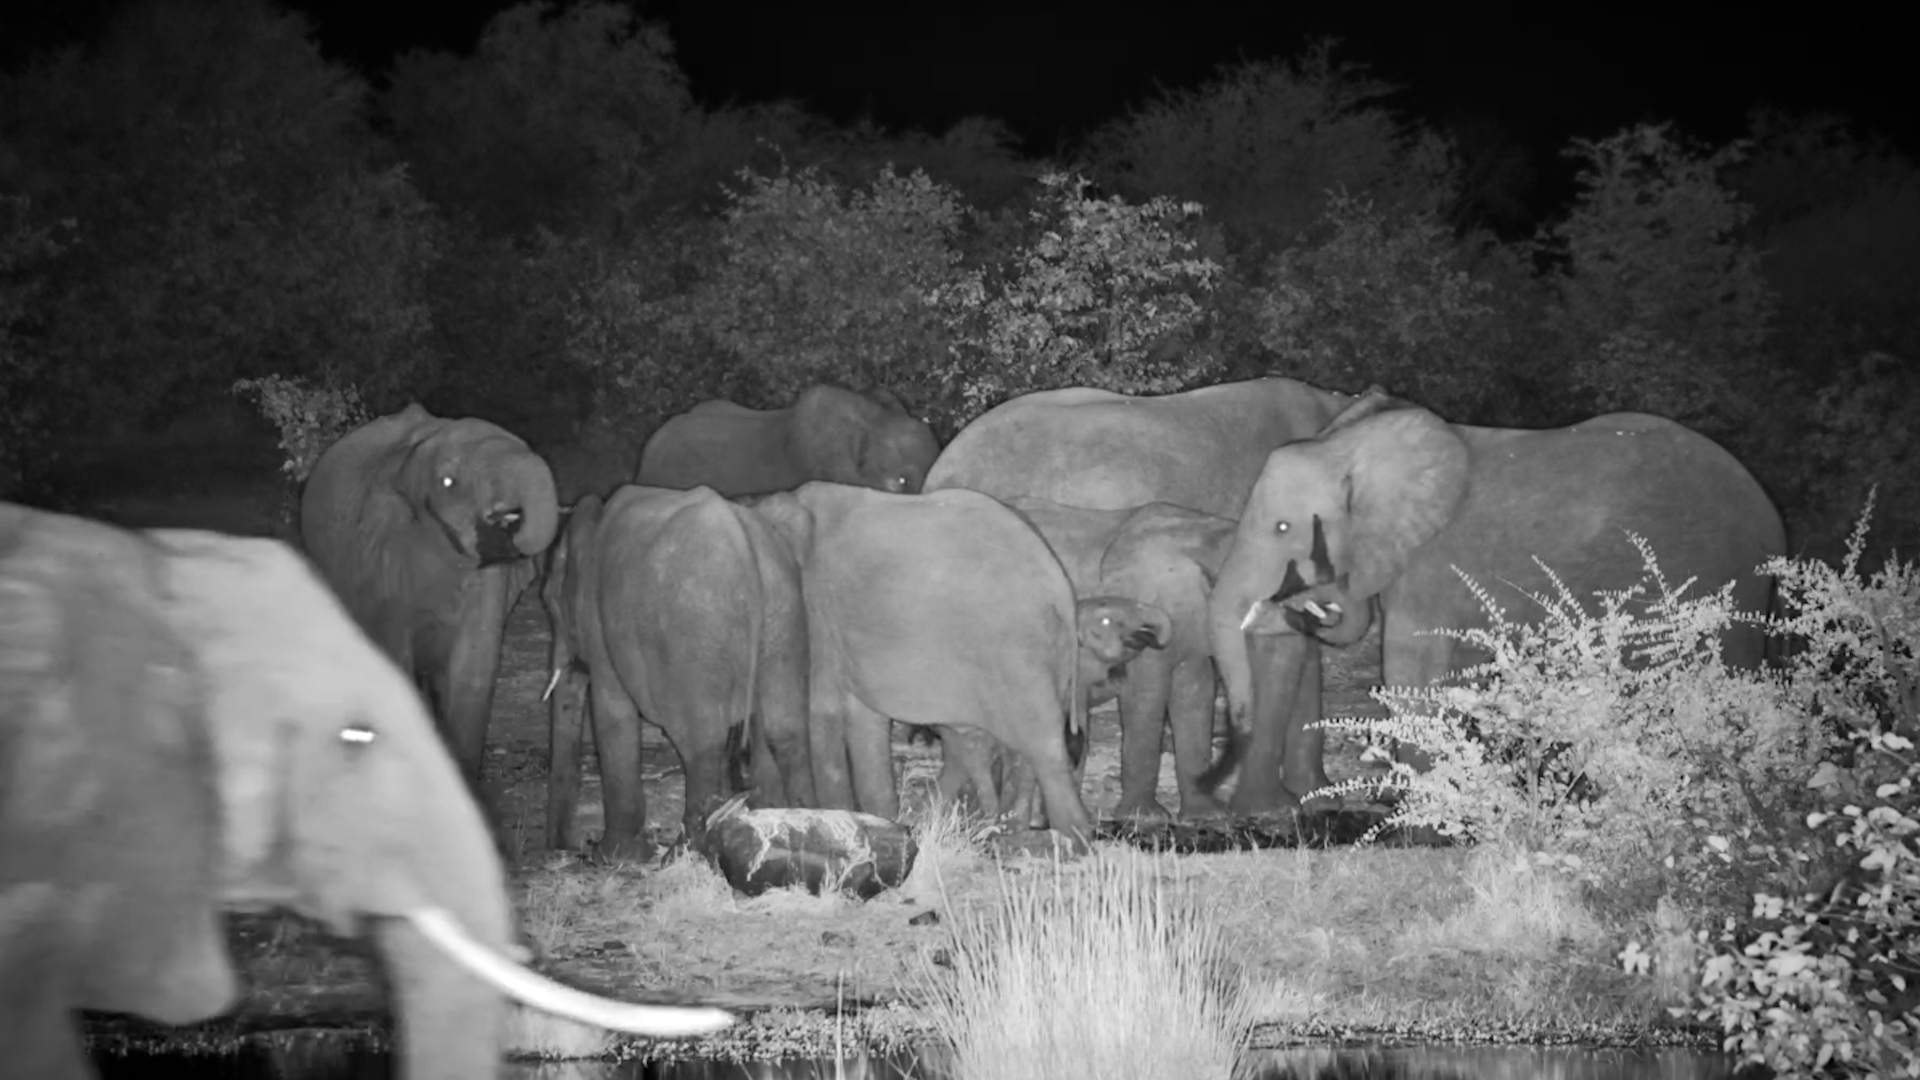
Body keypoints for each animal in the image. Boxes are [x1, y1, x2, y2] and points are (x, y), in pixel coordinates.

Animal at [542, 485, 813, 860]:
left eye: (549, 604)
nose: (572, 847)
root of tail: (747, 549)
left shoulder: (602, 629)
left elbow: (612, 712)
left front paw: (614, 856)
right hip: (783, 621)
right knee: (785, 732)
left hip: (695, 639)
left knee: (702, 743)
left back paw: (684, 854)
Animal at [748, 482, 1097, 848]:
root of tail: (1061, 589)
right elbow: (863, 720)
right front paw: (879, 820)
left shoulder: (817, 617)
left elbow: (821, 713)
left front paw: (835, 815)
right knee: (1003, 748)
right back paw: (1004, 828)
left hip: (1016, 654)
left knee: (1041, 748)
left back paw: (1068, 840)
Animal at [1207, 400, 1789, 813]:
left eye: (1283, 527)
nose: (1300, 606)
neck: (1351, 447)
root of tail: (1771, 515)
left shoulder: (1433, 565)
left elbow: (1411, 673)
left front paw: (1415, 814)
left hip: (1730, 579)